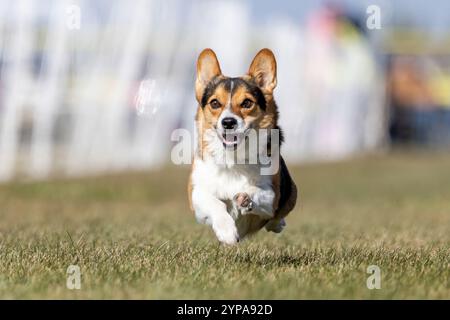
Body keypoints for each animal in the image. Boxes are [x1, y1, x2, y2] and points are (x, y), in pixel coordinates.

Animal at [188, 48, 298, 245]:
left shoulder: (272, 196)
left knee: (276, 218)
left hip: (291, 193)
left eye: (247, 103)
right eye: (215, 103)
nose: (228, 122)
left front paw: (244, 199)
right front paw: (227, 231)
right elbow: (215, 202)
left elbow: (255, 193)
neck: (233, 157)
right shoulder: (197, 194)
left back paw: (277, 223)